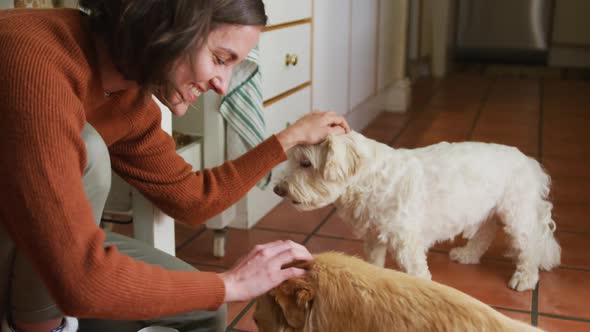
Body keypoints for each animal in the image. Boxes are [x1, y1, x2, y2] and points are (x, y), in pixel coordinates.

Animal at [276, 131, 560, 292]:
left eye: (306, 163)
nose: (278, 189)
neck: (370, 179)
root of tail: (530, 163)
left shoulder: (407, 244)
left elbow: (417, 274)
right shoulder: (373, 237)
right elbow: (374, 264)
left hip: (517, 217)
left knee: (529, 248)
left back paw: (525, 278)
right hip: (486, 212)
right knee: (485, 234)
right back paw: (467, 254)